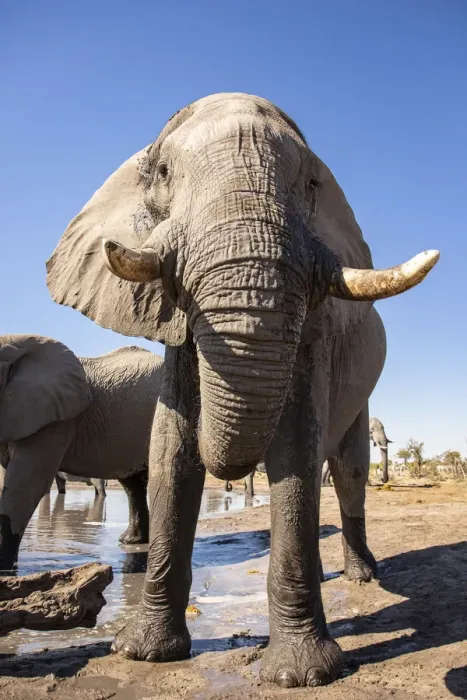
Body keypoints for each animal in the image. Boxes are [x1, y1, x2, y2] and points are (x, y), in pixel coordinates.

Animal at [46, 92, 439, 687]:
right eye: (163, 173)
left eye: (311, 183)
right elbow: (172, 449)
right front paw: (143, 652)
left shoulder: (315, 329)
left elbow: (295, 446)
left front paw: (303, 676)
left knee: (347, 468)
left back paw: (362, 577)